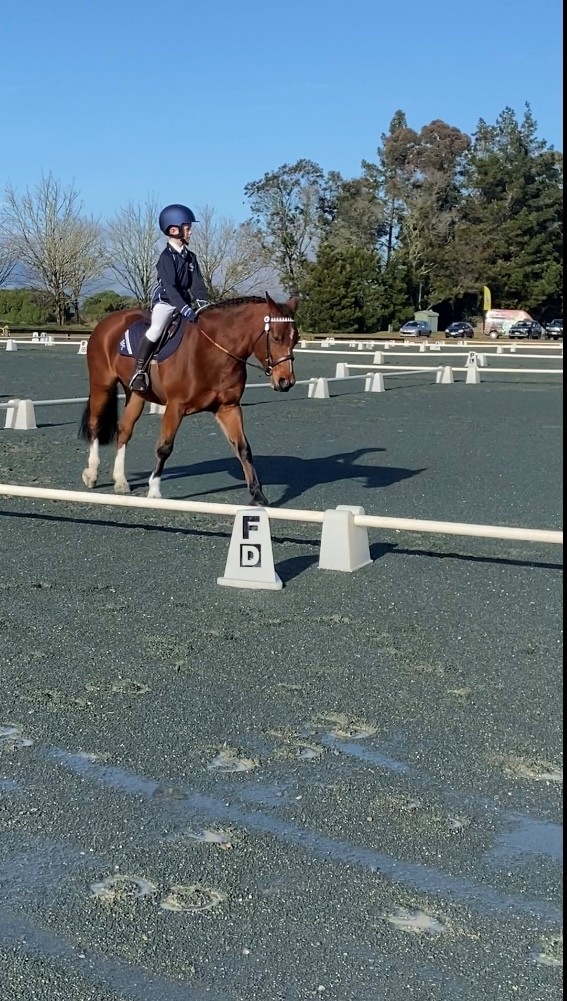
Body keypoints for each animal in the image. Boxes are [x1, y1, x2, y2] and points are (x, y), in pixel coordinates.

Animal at [79, 293, 299, 505]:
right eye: (276, 338)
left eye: (295, 340)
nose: (286, 382)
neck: (212, 350)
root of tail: (107, 321)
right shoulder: (175, 407)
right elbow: (164, 448)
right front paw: (154, 491)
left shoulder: (228, 408)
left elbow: (243, 448)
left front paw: (257, 495)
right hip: (102, 385)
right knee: (95, 424)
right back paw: (91, 474)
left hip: (136, 395)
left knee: (124, 430)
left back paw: (120, 481)